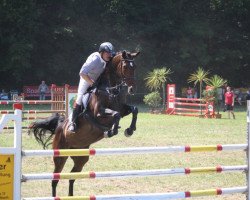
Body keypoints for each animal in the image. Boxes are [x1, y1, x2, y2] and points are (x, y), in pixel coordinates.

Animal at [28, 49, 141, 196]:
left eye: (135, 67)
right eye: (126, 66)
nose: (132, 89)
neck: (109, 89)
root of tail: (60, 126)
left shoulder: (122, 109)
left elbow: (134, 109)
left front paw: (129, 130)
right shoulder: (99, 113)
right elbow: (115, 115)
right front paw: (111, 131)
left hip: (81, 158)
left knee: (71, 177)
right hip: (60, 156)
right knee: (55, 179)